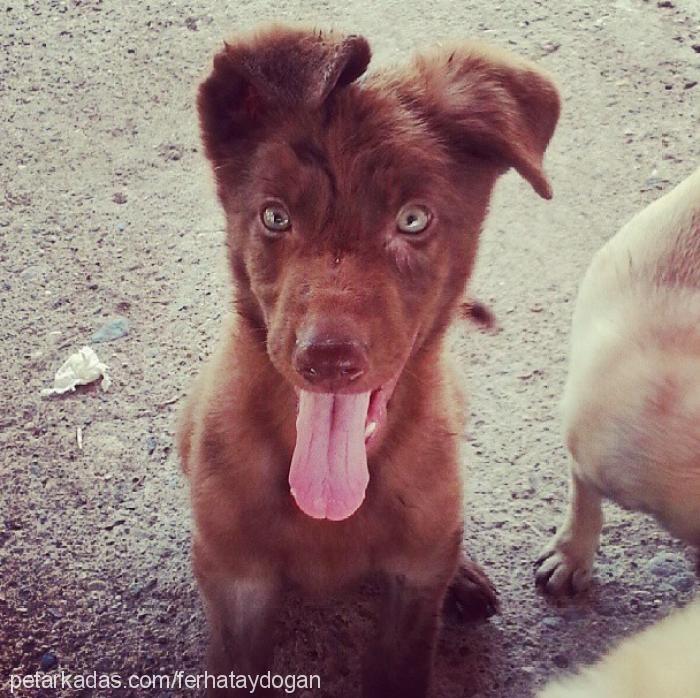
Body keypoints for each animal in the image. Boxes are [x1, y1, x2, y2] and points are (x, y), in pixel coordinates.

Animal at [179, 24, 556, 692]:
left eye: (413, 219)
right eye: (274, 216)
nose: (328, 360)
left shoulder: (412, 591)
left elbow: (400, 661)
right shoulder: (236, 582)